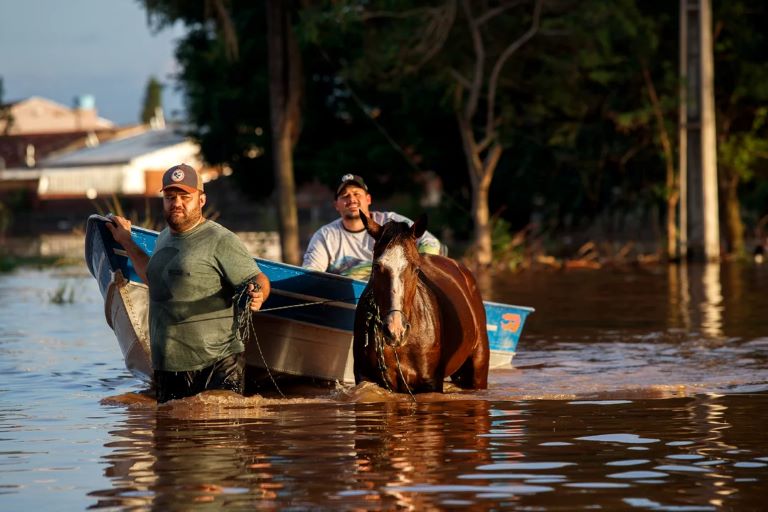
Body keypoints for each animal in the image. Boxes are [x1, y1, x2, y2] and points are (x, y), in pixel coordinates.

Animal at [352, 212, 488, 392]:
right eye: (376, 267)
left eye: (416, 269)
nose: (396, 330)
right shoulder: (366, 378)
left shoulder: (430, 383)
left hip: (478, 370)